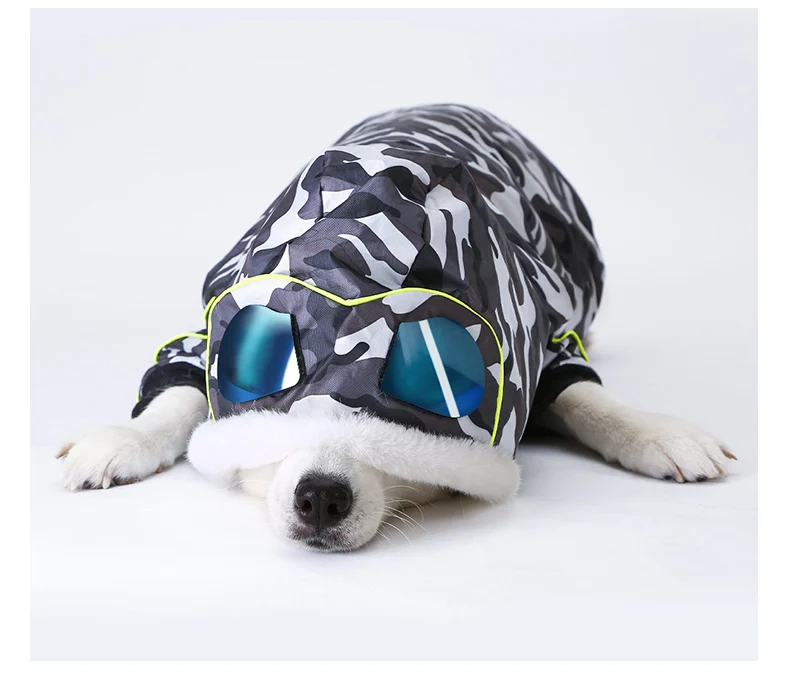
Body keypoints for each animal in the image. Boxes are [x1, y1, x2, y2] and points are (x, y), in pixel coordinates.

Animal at [58, 104, 735, 552]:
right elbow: (181, 389)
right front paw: (122, 439)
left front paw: (659, 432)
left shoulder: (535, 336)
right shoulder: (217, 316)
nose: (321, 497)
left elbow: (586, 396)